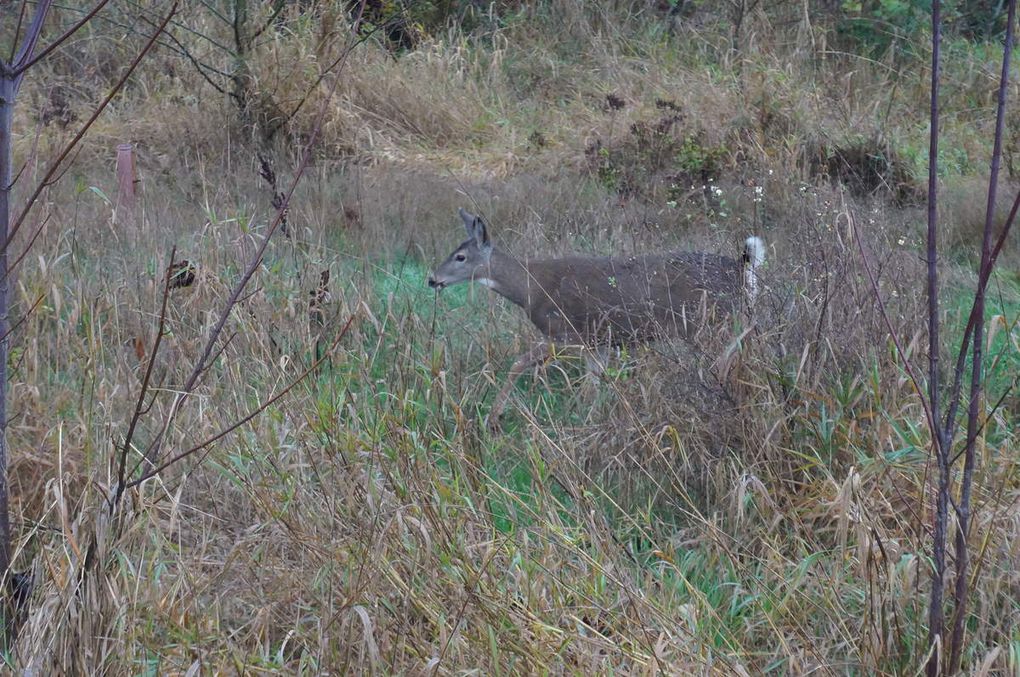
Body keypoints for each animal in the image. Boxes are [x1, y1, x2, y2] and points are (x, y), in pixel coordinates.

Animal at [424, 207, 767, 428]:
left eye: (460, 257)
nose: (432, 279)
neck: (529, 289)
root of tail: (742, 269)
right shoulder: (597, 342)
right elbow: (595, 382)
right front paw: (588, 417)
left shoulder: (566, 333)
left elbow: (519, 363)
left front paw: (492, 418)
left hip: (707, 324)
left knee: (720, 366)